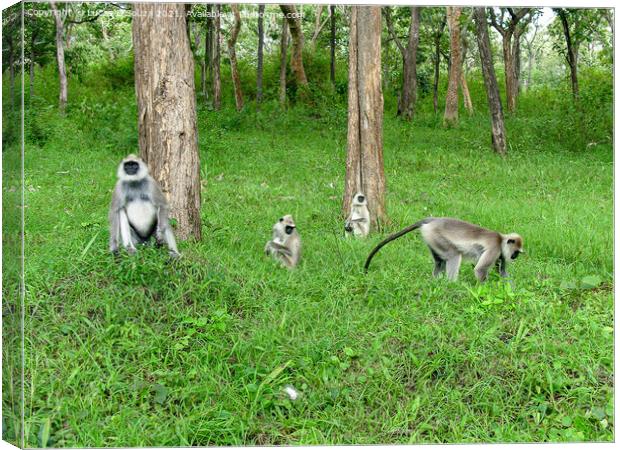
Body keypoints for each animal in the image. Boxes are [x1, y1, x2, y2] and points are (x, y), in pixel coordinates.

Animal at [364, 218, 524, 282]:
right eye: (516, 253)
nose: (514, 257)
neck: (501, 239)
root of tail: (433, 220)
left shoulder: (500, 253)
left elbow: (502, 272)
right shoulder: (495, 248)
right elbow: (479, 269)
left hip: (431, 239)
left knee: (439, 261)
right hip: (436, 236)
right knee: (454, 255)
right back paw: (451, 284)